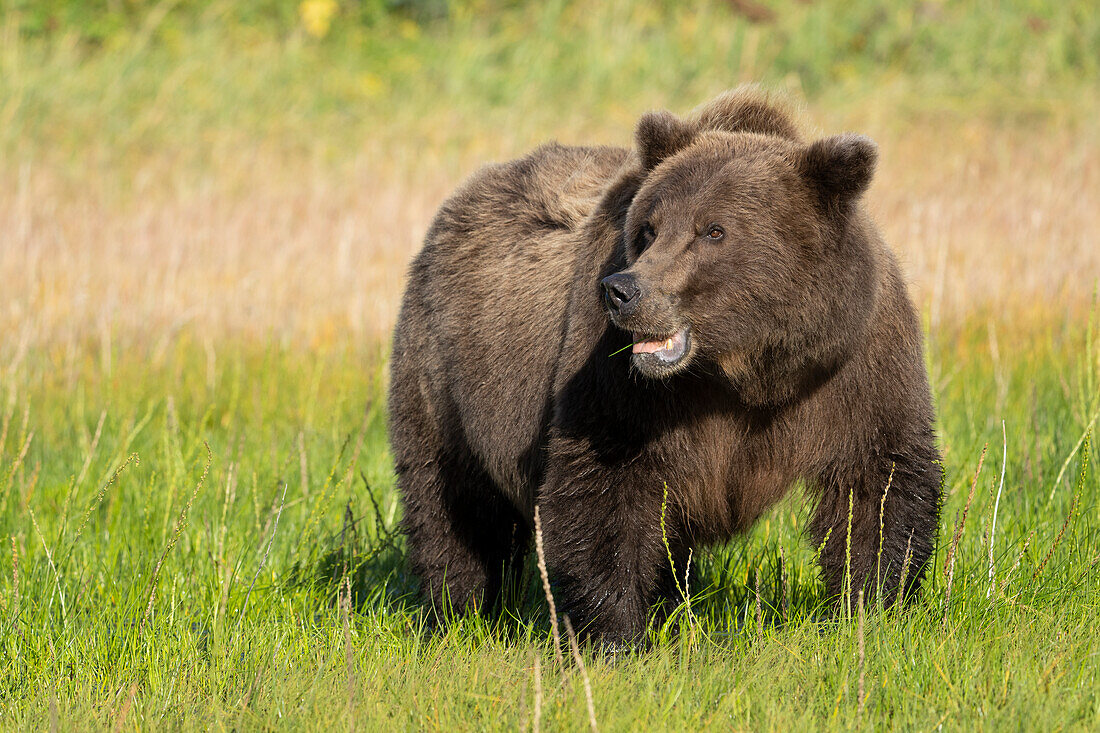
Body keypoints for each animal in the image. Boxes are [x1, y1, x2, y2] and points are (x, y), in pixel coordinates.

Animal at [391, 86, 941, 647]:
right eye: (648, 229)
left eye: (714, 230)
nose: (622, 291)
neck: (745, 371)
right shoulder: (622, 385)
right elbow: (602, 488)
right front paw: (616, 635)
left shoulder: (855, 368)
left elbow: (878, 484)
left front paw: (872, 607)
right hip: (444, 376)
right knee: (452, 503)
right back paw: (455, 610)